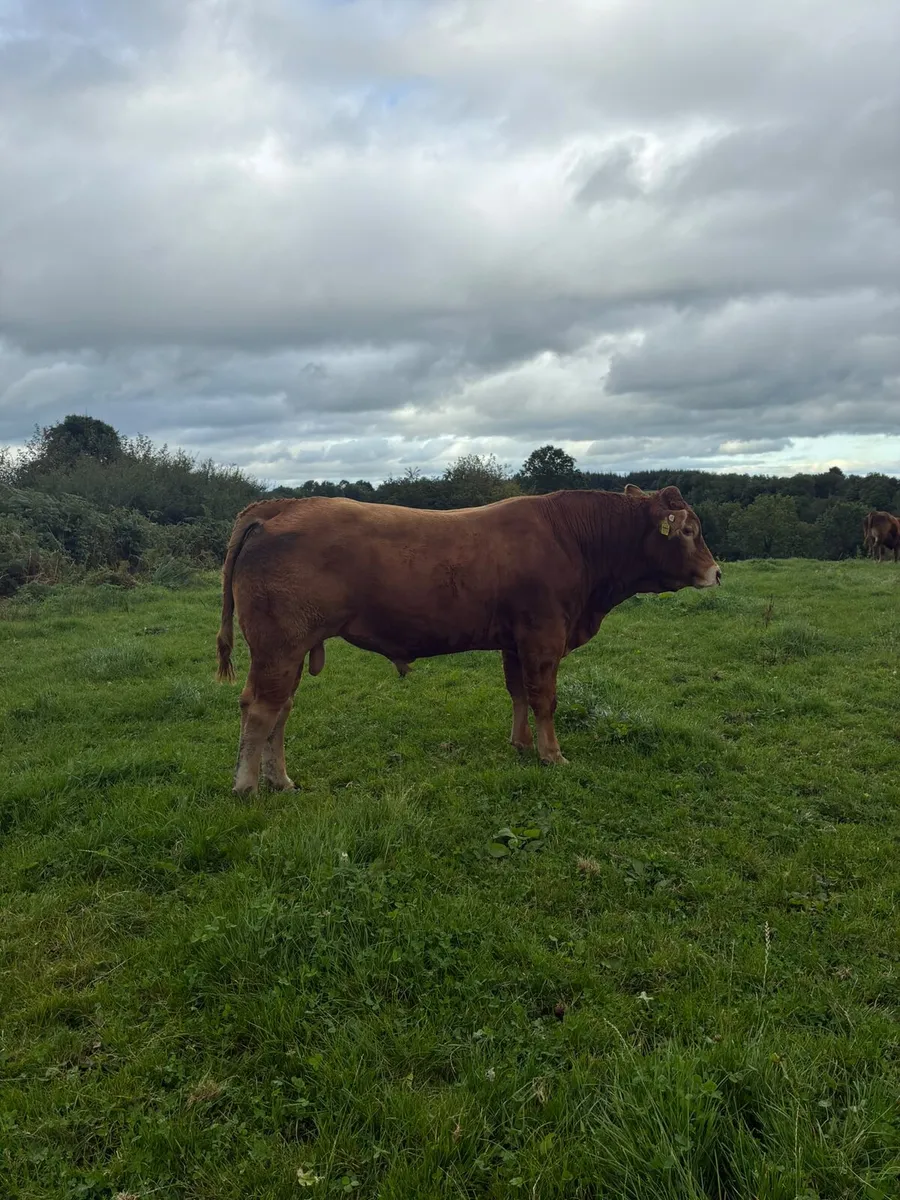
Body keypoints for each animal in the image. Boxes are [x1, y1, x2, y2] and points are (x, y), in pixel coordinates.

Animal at [216, 484, 721, 794]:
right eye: (689, 531)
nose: (717, 572)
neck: (572, 540)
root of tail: (279, 506)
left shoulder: (515, 641)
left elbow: (518, 693)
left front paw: (521, 744)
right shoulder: (543, 636)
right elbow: (544, 698)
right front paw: (552, 754)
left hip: (290, 649)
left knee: (280, 709)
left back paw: (280, 780)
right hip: (278, 645)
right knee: (260, 708)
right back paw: (247, 785)